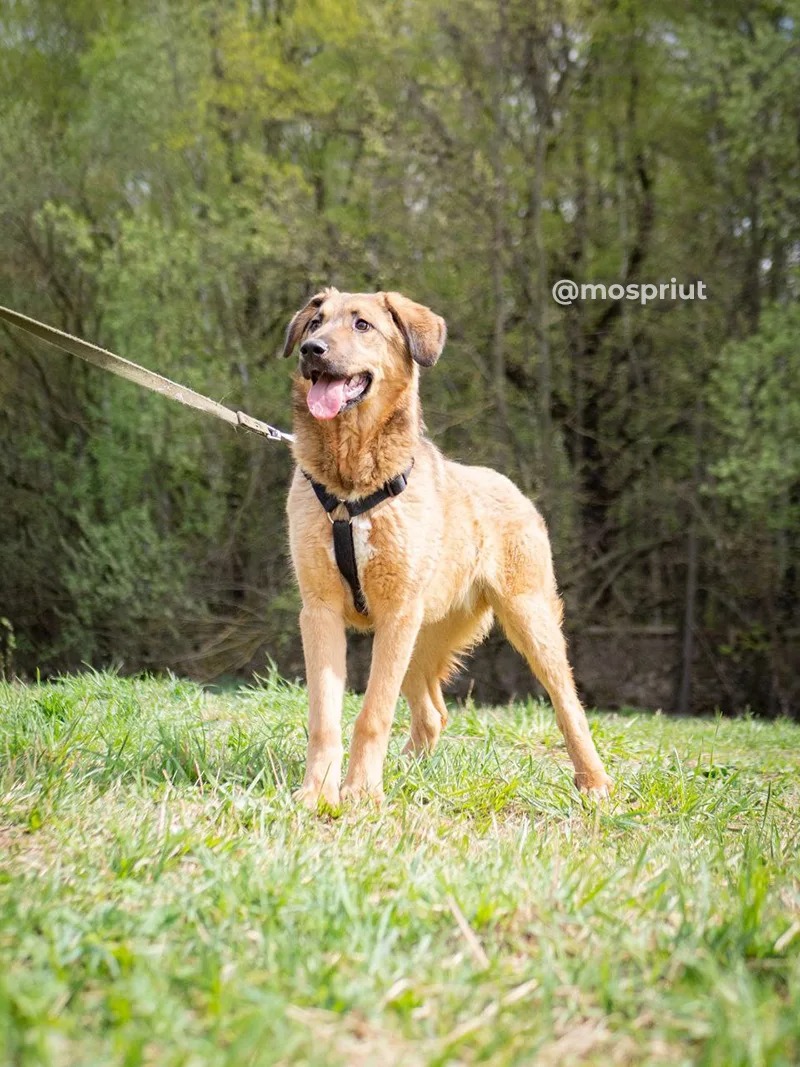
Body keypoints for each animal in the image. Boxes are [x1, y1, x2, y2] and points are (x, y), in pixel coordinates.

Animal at [283, 288, 614, 802]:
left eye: (362, 325)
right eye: (316, 322)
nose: (311, 350)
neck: (352, 485)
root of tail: (511, 486)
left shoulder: (396, 612)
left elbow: (373, 714)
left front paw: (360, 795)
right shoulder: (320, 611)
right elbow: (324, 717)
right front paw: (318, 793)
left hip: (528, 619)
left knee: (568, 705)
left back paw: (593, 781)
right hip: (420, 637)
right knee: (433, 714)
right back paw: (405, 772)